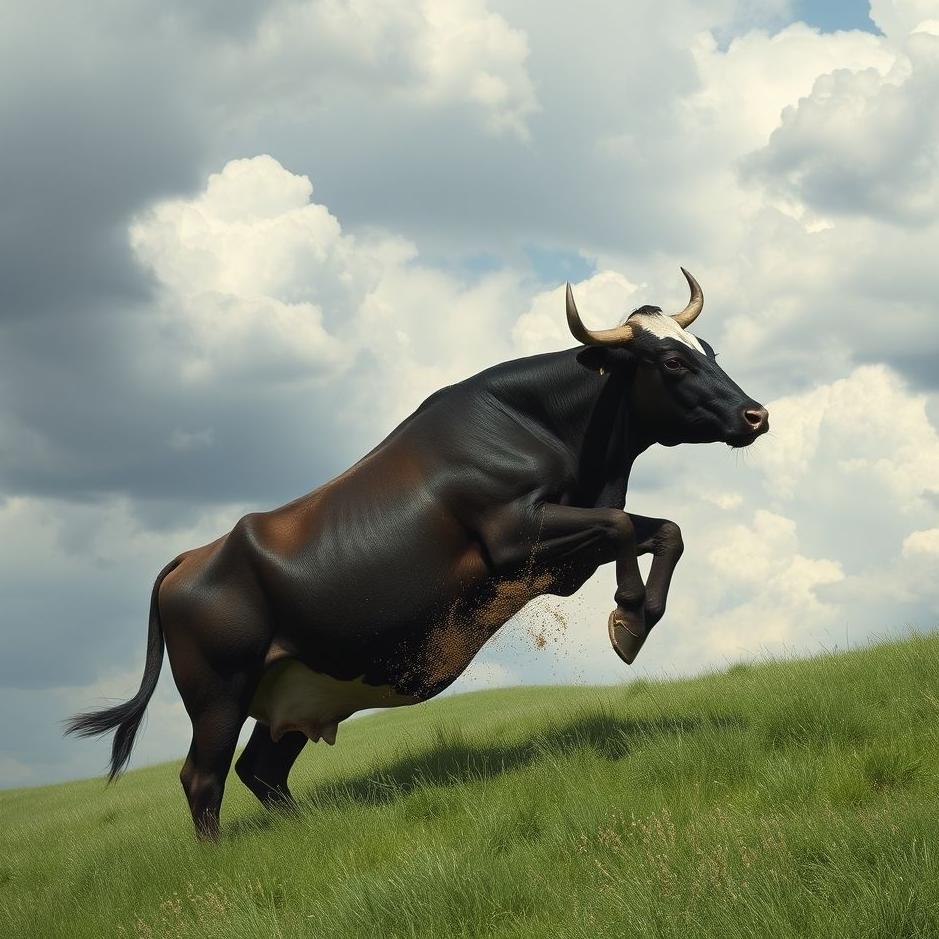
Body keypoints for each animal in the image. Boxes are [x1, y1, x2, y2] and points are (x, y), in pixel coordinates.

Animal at [65, 268, 768, 839]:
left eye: (707, 350)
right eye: (670, 362)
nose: (756, 415)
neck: (543, 429)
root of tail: (189, 557)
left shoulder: (569, 551)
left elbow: (666, 529)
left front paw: (640, 617)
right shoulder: (515, 537)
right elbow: (624, 525)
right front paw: (626, 617)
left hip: (293, 686)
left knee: (260, 770)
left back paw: (308, 834)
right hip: (218, 691)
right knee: (203, 777)